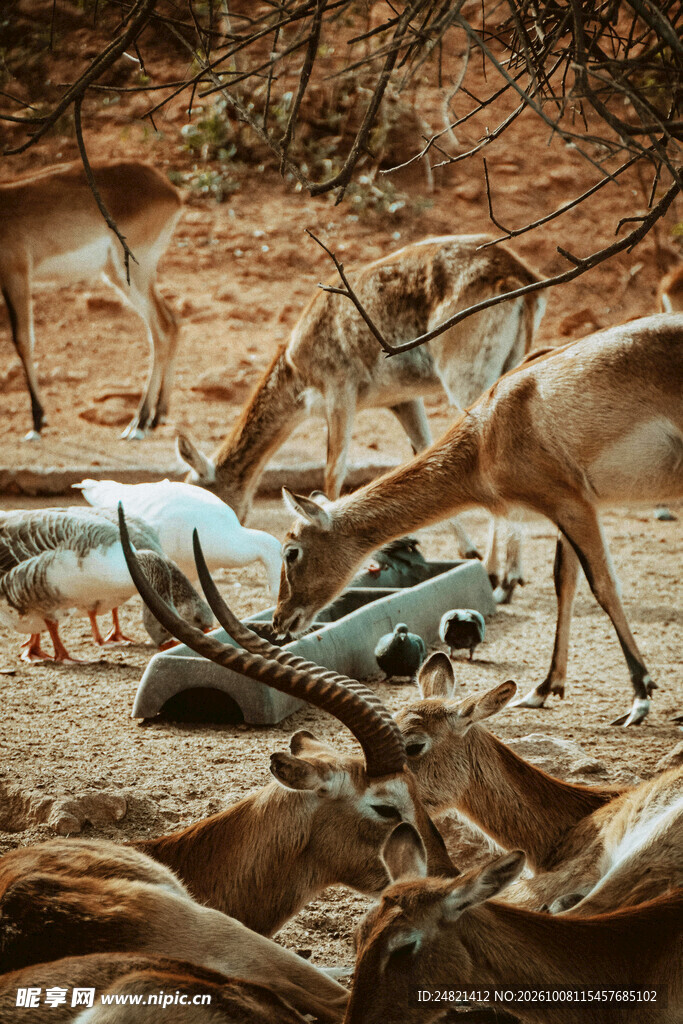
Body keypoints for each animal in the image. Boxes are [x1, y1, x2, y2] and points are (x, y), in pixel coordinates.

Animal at [0, 159, 182, 441]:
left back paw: (139, 423)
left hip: (130, 272)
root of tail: (171, 191)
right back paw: (156, 416)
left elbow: (22, 341)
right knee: (170, 323)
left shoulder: (16, 274)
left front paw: (37, 422)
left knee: (163, 326)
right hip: (120, 274)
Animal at [177, 234, 546, 600]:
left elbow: (334, 469)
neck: (297, 372)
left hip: (465, 373)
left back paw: (502, 580)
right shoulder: (402, 399)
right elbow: (424, 452)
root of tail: (521, 278)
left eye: (201, 497)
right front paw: (468, 551)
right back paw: (506, 574)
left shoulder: (340, 388)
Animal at [273, 314, 683, 727]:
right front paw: (542, 689)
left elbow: (603, 586)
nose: (279, 620)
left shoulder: (572, 505)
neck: (486, 435)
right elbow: (564, 582)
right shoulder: (569, 507)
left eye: (291, 551)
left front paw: (640, 696)